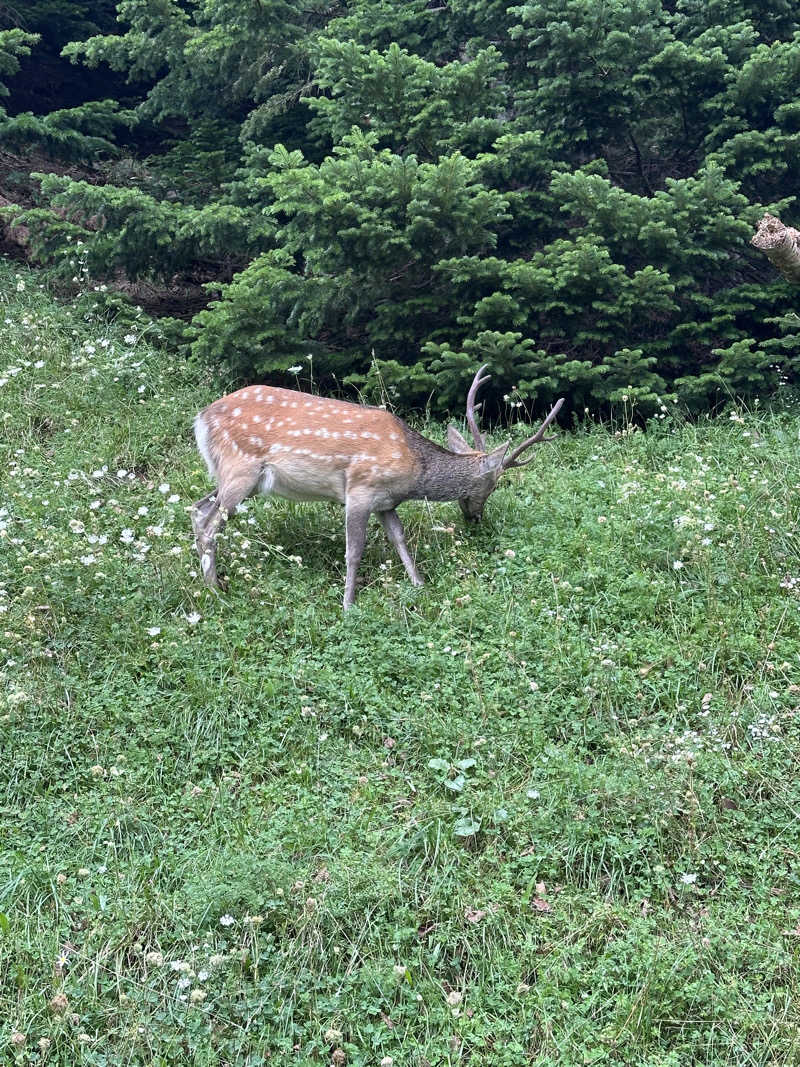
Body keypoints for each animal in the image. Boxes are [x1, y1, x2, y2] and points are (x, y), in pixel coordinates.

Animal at [192, 367, 567, 614]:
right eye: (492, 484)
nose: (475, 517)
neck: (413, 469)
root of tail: (202, 418)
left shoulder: (386, 502)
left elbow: (399, 539)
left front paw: (419, 584)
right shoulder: (360, 489)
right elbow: (354, 551)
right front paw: (348, 605)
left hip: (237, 478)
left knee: (197, 510)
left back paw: (213, 584)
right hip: (241, 467)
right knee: (209, 523)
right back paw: (215, 590)